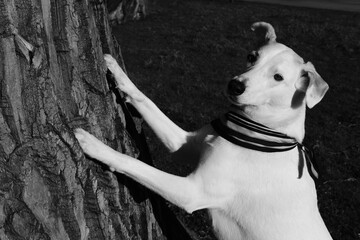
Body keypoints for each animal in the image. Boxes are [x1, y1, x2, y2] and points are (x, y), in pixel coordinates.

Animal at [74, 21, 334, 239]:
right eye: (251, 57)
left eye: (278, 77)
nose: (235, 85)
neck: (260, 131)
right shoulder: (184, 144)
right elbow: (146, 101)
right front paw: (116, 71)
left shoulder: (192, 192)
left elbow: (134, 163)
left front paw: (93, 145)